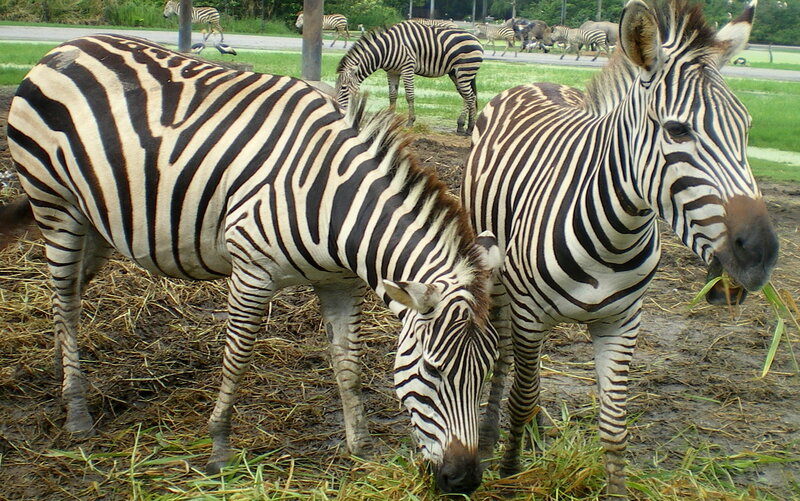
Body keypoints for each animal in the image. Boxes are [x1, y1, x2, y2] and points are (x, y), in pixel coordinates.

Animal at [2, 34, 502, 495]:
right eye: (432, 371)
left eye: (488, 371)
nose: (464, 480)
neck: (334, 204)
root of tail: (65, 46)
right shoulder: (251, 275)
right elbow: (237, 358)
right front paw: (219, 448)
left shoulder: (341, 283)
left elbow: (349, 364)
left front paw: (360, 446)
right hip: (56, 205)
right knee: (65, 300)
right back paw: (77, 411)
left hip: (98, 216)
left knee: (67, 296)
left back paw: (61, 377)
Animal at [335, 21, 483, 136]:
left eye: (343, 87)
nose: (339, 114)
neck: (387, 49)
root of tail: (475, 38)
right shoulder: (392, 72)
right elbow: (392, 95)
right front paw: (389, 117)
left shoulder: (407, 68)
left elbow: (409, 96)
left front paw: (410, 121)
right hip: (455, 73)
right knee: (467, 96)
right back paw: (463, 126)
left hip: (465, 71)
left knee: (470, 97)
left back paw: (468, 127)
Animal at [462, 0, 775, 497]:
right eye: (677, 130)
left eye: (746, 128)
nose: (759, 256)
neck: (615, 238)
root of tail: (538, 80)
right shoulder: (529, 312)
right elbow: (521, 398)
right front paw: (510, 474)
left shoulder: (623, 323)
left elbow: (614, 426)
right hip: (498, 275)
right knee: (507, 359)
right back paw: (494, 436)